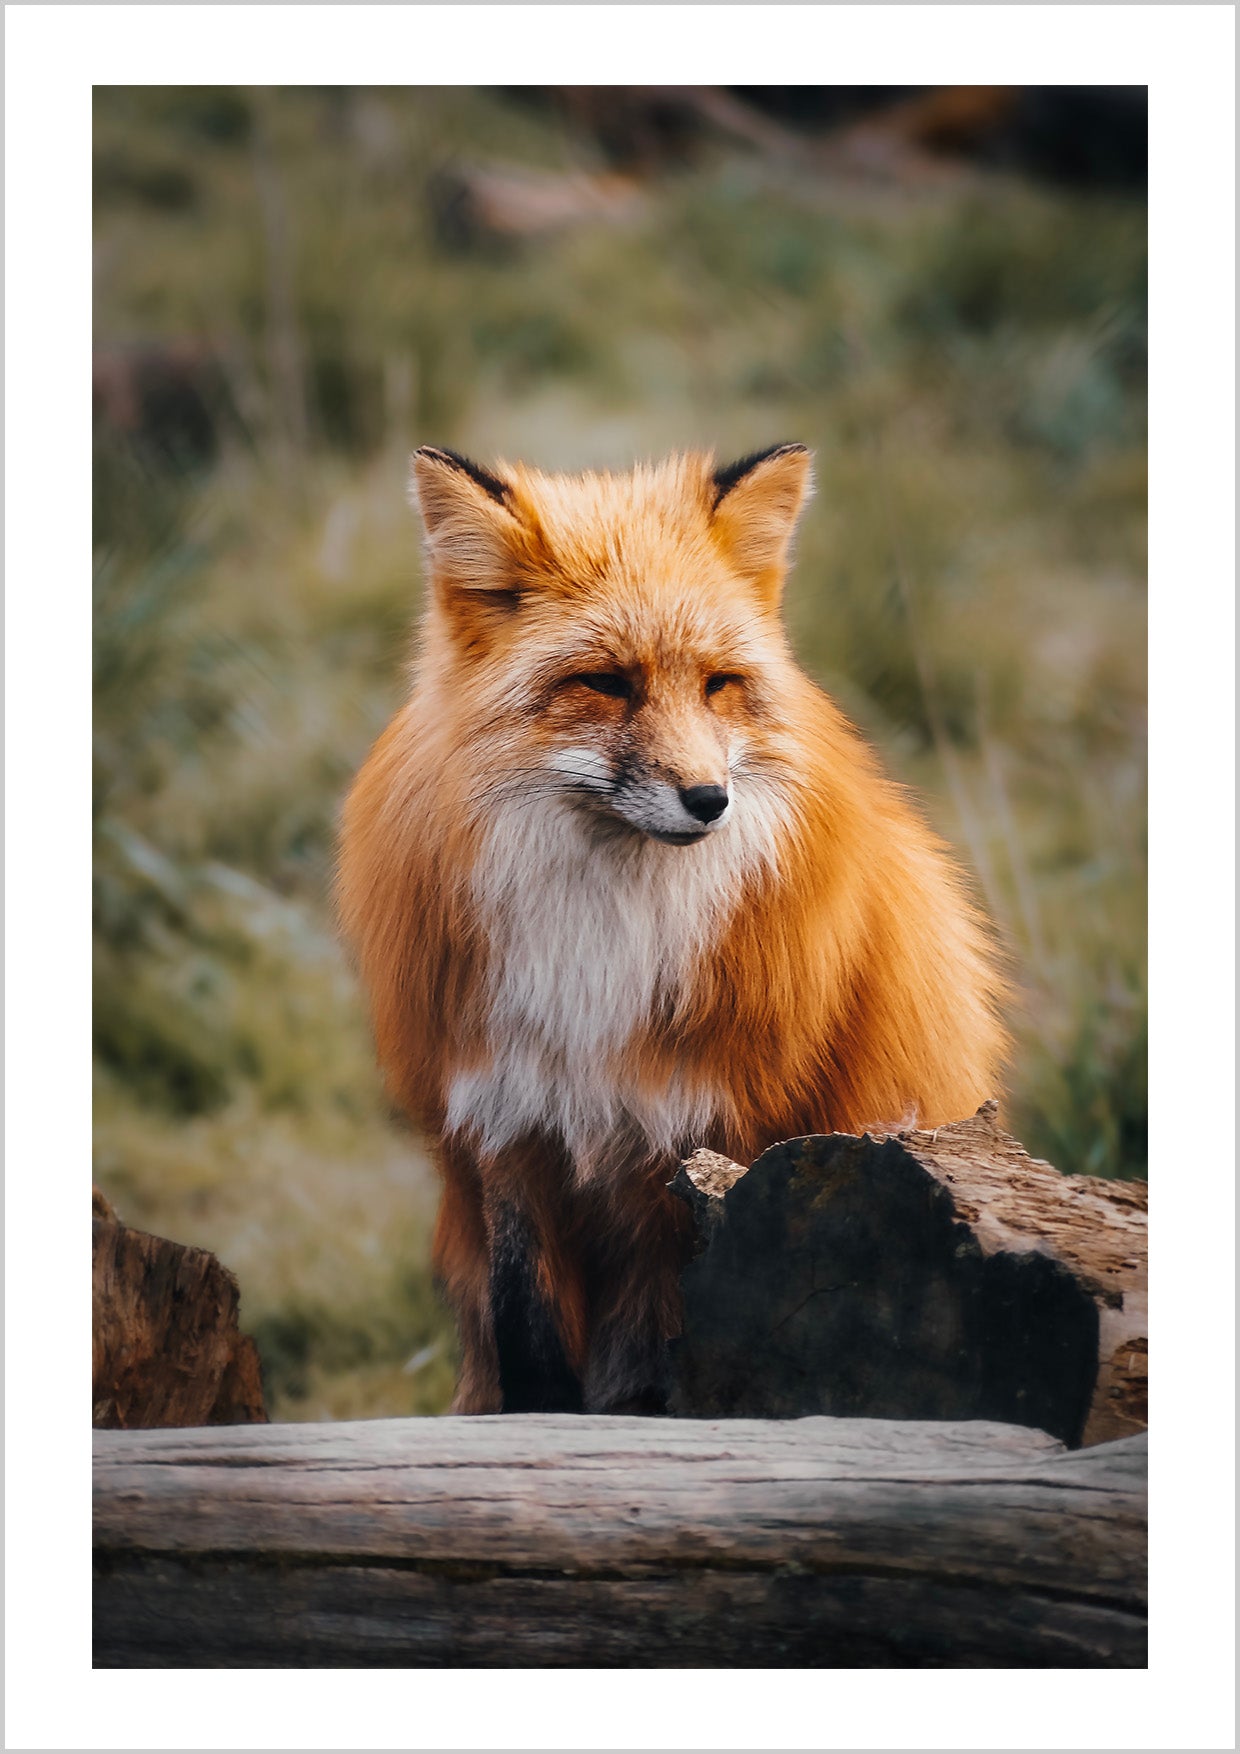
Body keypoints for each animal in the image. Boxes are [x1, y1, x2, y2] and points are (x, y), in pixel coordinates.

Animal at [336, 445, 1010, 1417]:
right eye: (607, 683)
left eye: (719, 684)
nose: (709, 801)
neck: (598, 947)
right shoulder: (507, 1117)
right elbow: (530, 1343)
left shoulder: (701, 1141)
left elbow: (670, 1354)